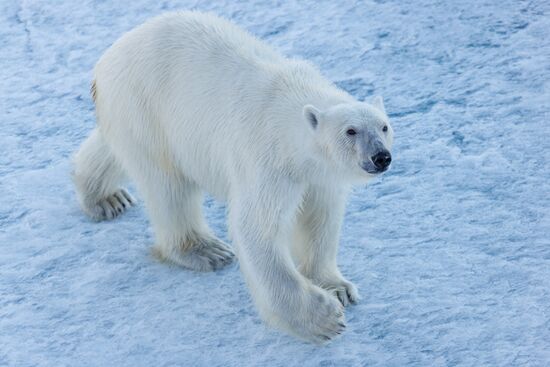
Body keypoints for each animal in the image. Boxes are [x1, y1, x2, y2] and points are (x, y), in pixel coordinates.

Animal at [74, 12, 392, 344]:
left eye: (384, 126)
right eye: (351, 131)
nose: (381, 157)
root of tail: (104, 64)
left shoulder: (319, 175)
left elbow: (319, 221)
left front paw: (338, 287)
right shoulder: (268, 161)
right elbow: (257, 229)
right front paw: (323, 318)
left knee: (113, 149)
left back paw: (106, 198)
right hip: (144, 108)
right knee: (169, 186)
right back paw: (206, 250)